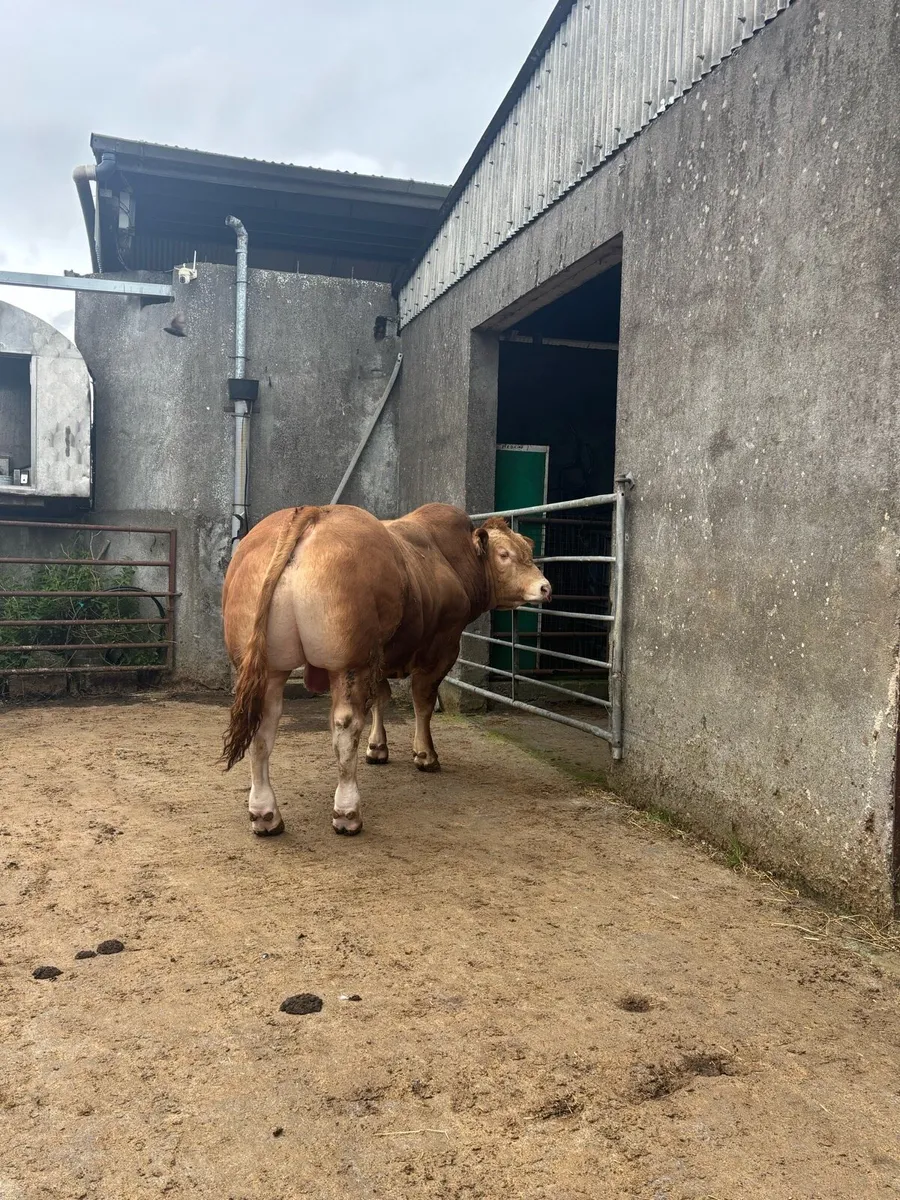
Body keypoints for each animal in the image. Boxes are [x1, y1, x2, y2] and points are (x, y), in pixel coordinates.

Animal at [221, 503, 551, 836]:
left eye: (528, 551)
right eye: (504, 554)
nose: (545, 587)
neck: (452, 559)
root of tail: (314, 513)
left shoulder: (381, 655)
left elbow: (381, 698)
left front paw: (378, 748)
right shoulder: (442, 647)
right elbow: (423, 701)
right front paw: (425, 754)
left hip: (270, 665)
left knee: (263, 728)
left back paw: (265, 814)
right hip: (349, 662)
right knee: (345, 726)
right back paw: (347, 812)